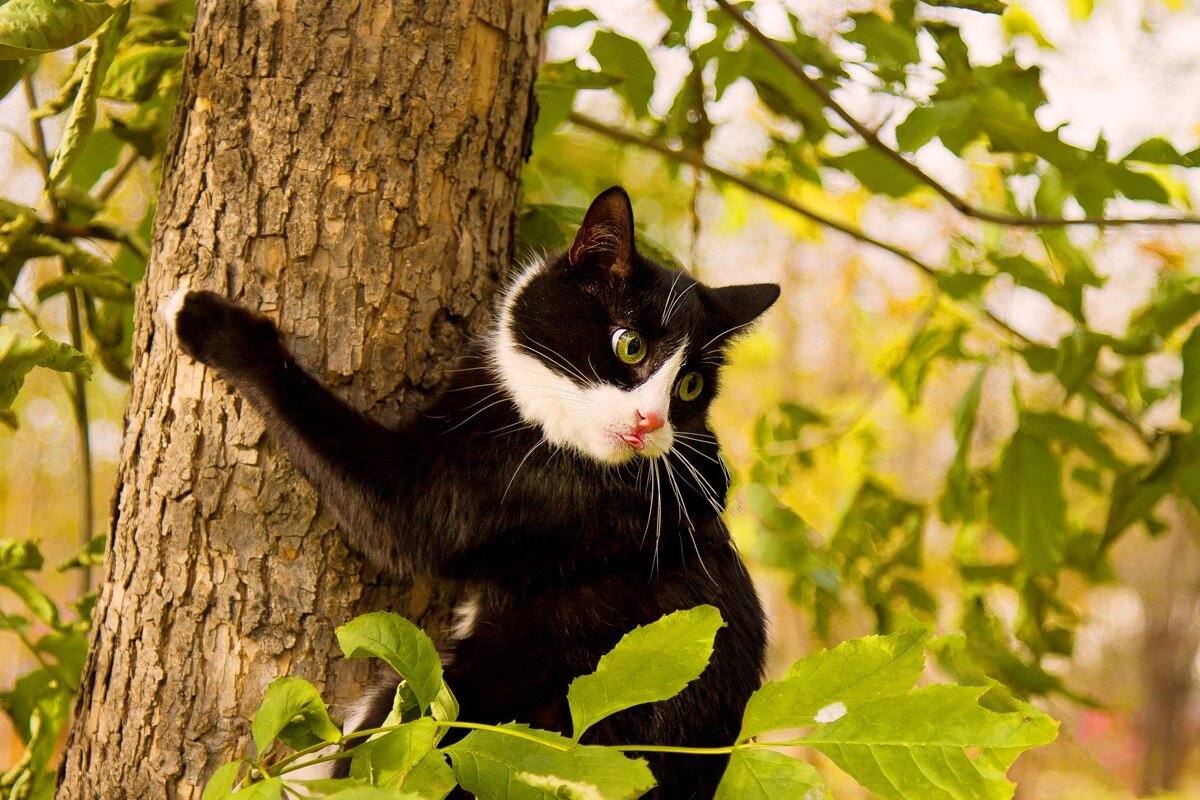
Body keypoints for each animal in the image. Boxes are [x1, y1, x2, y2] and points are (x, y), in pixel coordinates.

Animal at [169, 184, 777, 796]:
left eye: (689, 386)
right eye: (630, 345)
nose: (650, 421)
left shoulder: (498, 485)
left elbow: (384, 503)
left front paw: (209, 323)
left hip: (453, 703)